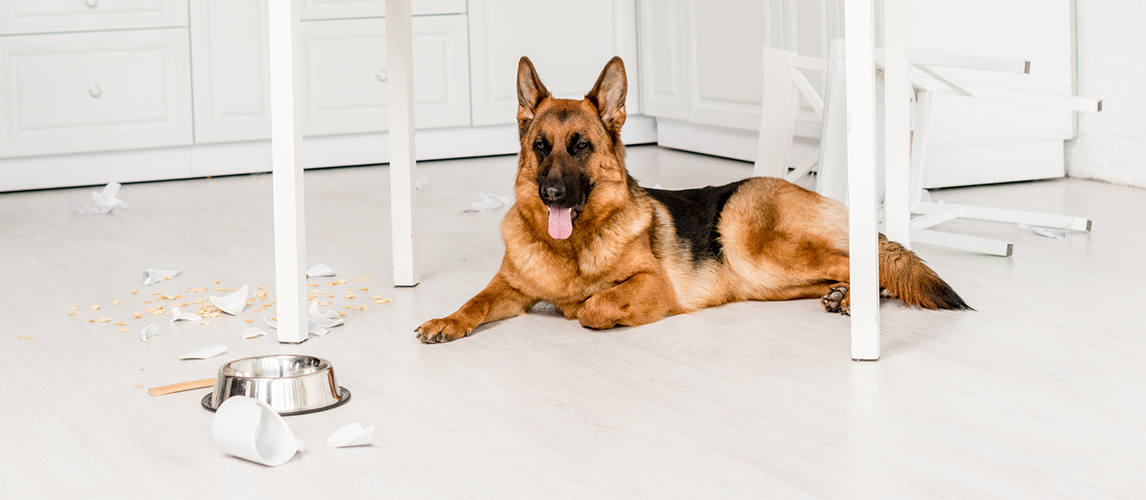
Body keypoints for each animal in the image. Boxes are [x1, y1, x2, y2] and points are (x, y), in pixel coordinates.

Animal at [412, 55, 967, 344]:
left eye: (581, 146)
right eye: (541, 147)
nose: (551, 193)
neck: (571, 249)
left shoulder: (652, 284)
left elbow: (594, 306)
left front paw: (585, 307)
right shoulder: (506, 288)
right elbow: (473, 301)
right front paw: (446, 321)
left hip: (753, 244)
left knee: (860, 259)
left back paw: (856, 297)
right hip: (761, 280)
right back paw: (843, 296)